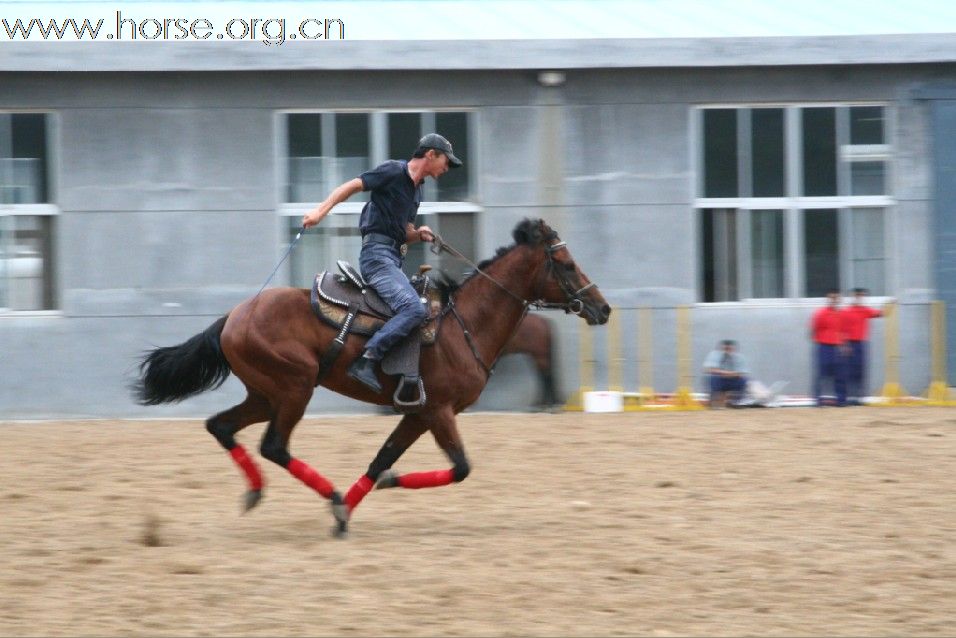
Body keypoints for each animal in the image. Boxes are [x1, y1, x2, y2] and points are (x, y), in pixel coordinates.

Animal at [134, 218, 608, 536]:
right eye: (566, 264)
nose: (602, 307)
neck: (463, 325)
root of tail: (234, 316)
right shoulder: (439, 411)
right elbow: (460, 467)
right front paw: (370, 492)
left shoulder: (417, 413)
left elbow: (382, 458)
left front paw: (357, 504)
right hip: (294, 388)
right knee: (274, 445)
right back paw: (327, 493)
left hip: (265, 395)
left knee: (220, 426)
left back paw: (260, 492)